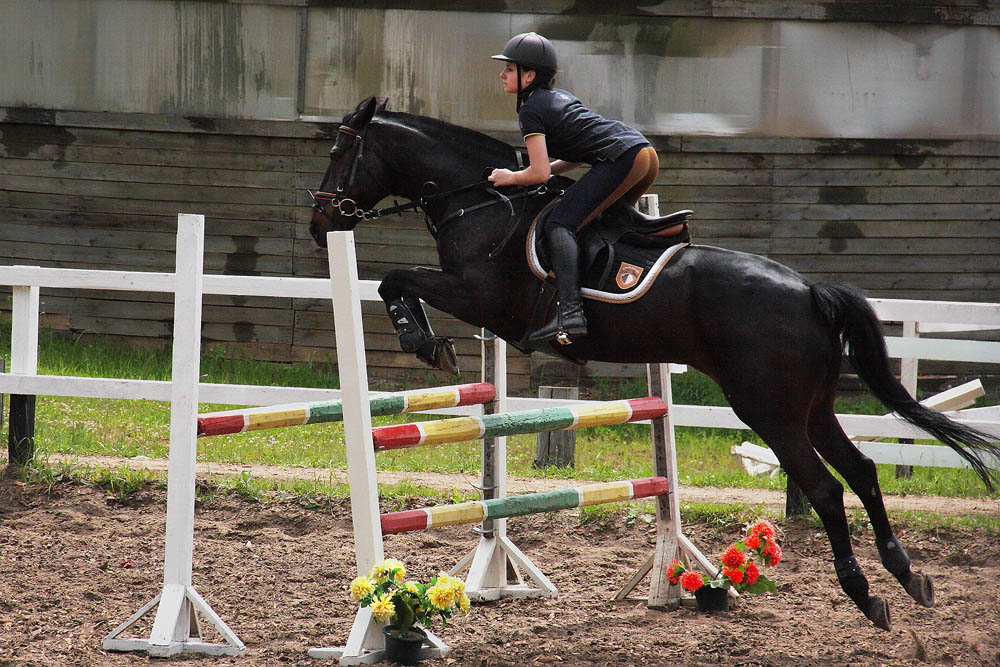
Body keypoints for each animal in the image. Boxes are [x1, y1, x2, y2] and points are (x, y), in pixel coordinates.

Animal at [308, 96, 996, 628]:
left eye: (343, 151)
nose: (320, 224)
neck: (479, 202)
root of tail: (809, 291)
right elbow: (399, 280)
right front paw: (427, 341)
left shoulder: (481, 296)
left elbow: (396, 279)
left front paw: (422, 341)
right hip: (812, 407)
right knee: (863, 471)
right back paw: (907, 576)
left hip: (769, 410)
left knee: (826, 487)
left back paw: (865, 595)